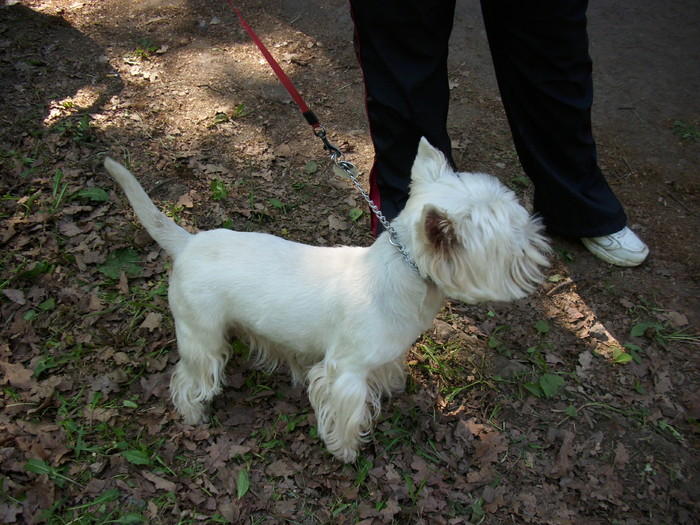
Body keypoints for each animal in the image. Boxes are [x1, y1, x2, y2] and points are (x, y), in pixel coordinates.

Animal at [105, 137, 552, 460]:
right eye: (514, 243)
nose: (540, 236)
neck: (401, 275)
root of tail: (187, 242)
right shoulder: (343, 370)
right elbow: (347, 414)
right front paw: (347, 450)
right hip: (201, 333)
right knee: (190, 376)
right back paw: (195, 414)